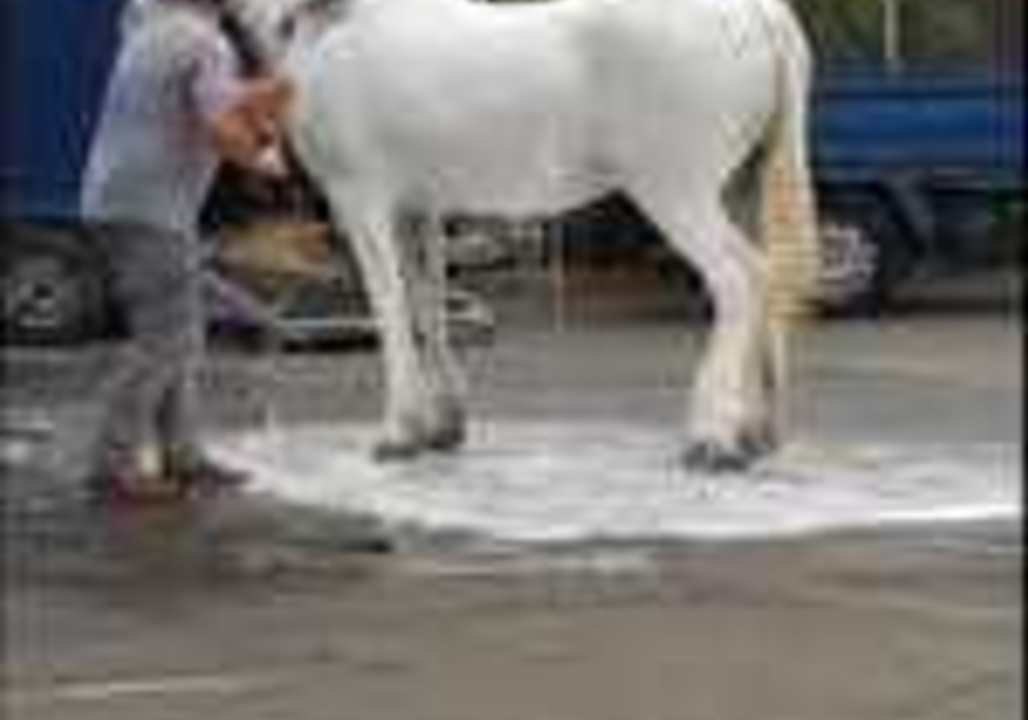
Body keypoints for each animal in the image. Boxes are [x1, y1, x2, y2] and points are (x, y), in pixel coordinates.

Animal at [223, 0, 820, 472]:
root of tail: (756, 12)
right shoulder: (418, 208)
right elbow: (428, 306)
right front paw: (441, 426)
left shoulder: (361, 199)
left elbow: (390, 311)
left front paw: (398, 432)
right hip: (738, 187)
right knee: (769, 276)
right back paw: (756, 433)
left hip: (675, 187)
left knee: (738, 280)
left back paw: (711, 438)